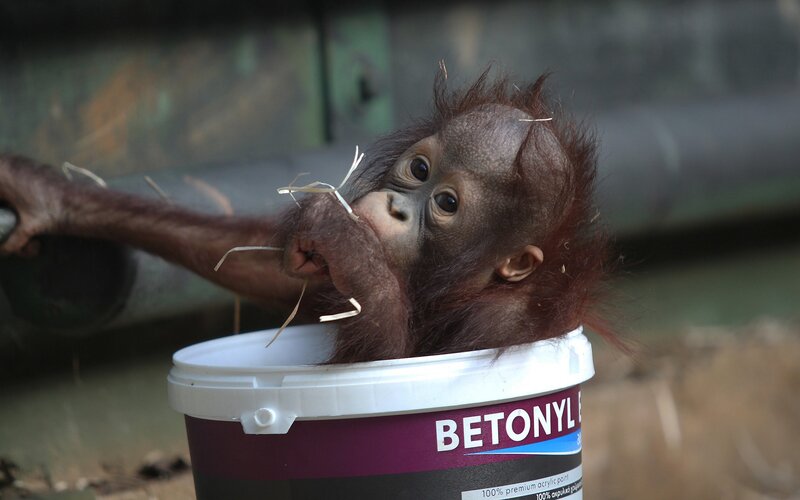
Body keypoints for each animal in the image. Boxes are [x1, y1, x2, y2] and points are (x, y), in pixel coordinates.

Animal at [0, 71, 619, 363]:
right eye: (419, 169)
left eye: (446, 204)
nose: (395, 207)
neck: (468, 285)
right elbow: (267, 267)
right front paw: (46, 196)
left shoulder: (498, 326)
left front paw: (352, 249)